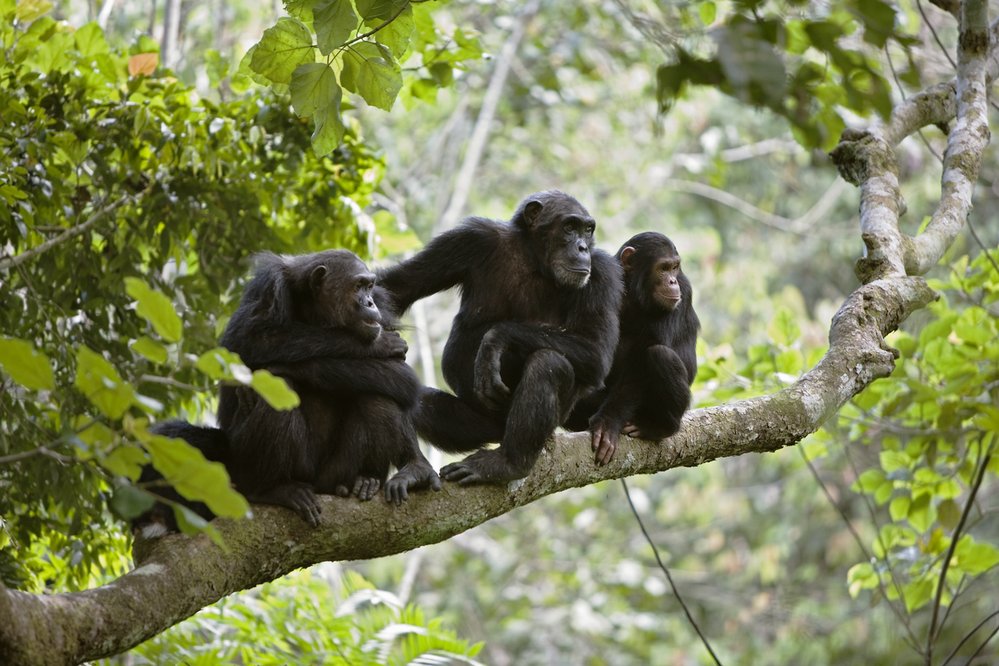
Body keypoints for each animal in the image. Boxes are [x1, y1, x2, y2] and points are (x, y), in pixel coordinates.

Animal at [136, 246, 438, 532]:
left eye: (369, 285)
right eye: (357, 286)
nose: (369, 301)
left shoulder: (383, 310)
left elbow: (400, 376)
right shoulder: (268, 287)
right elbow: (251, 339)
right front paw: (379, 345)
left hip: (333, 475)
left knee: (378, 395)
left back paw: (375, 477)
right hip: (251, 467)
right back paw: (273, 489)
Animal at [378, 189, 620, 486]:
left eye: (587, 230)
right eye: (569, 227)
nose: (582, 247)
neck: (534, 259)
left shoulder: (603, 273)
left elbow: (595, 349)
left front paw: (495, 340)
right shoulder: (469, 239)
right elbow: (395, 288)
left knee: (549, 364)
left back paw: (508, 464)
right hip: (479, 425)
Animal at [568, 231, 700, 464]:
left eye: (675, 267)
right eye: (663, 268)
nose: (672, 281)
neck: (633, 292)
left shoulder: (683, 289)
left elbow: (643, 357)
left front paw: (608, 423)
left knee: (660, 355)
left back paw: (660, 427)